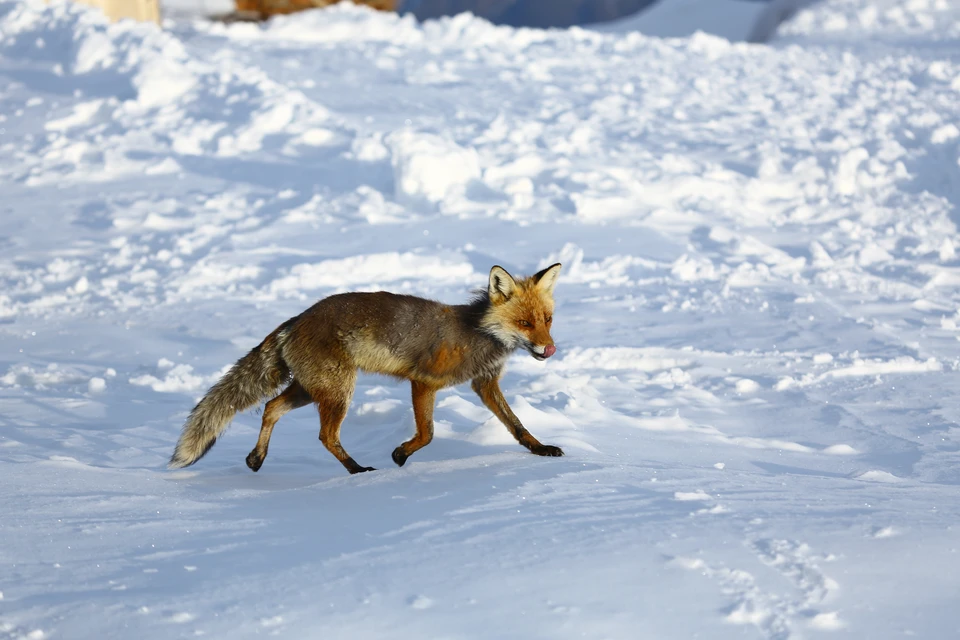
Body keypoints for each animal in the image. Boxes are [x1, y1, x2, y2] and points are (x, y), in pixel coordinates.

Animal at [170, 262, 568, 476]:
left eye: (547, 319)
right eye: (524, 323)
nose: (549, 348)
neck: (475, 333)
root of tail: (297, 319)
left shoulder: (484, 384)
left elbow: (517, 425)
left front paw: (540, 449)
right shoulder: (423, 381)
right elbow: (428, 434)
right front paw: (400, 455)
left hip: (311, 389)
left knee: (270, 408)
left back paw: (256, 458)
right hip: (338, 391)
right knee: (324, 436)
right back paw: (356, 470)